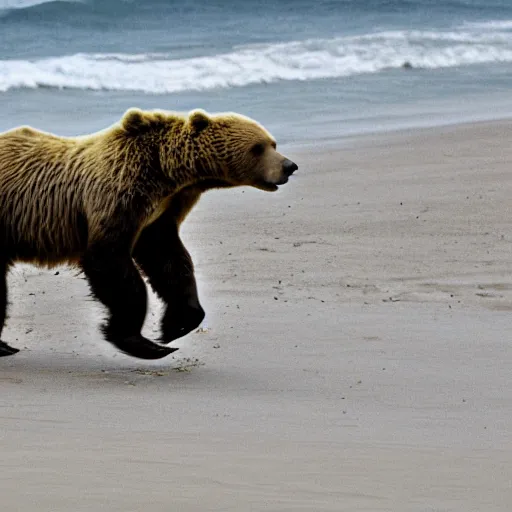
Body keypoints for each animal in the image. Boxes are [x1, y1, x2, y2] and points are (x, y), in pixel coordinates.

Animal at [0, 109, 296, 360]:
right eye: (258, 147)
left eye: (273, 143)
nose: (289, 166)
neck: (166, 172)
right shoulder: (120, 193)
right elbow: (109, 261)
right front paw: (142, 341)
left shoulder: (160, 212)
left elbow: (169, 260)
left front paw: (175, 325)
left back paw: (3, 345)